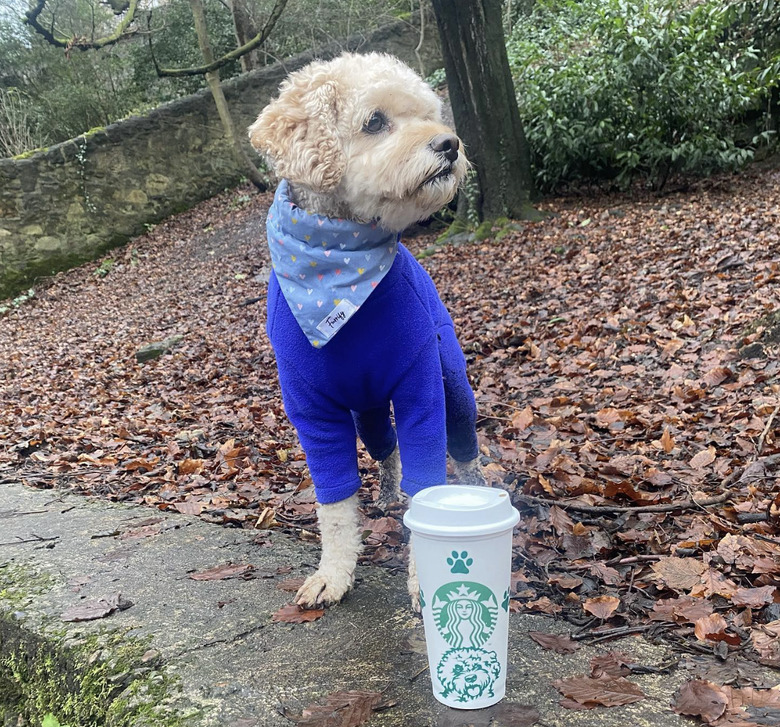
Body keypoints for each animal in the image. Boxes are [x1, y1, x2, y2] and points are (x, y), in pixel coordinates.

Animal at [248, 49, 482, 608]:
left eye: (428, 113)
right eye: (374, 121)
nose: (450, 144)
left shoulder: (421, 389)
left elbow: (428, 483)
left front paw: (427, 576)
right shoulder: (314, 412)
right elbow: (334, 507)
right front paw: (332, 574)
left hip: (453, 389)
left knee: (463, 451)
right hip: (366, 414)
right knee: (386, 448)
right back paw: (387, 493)